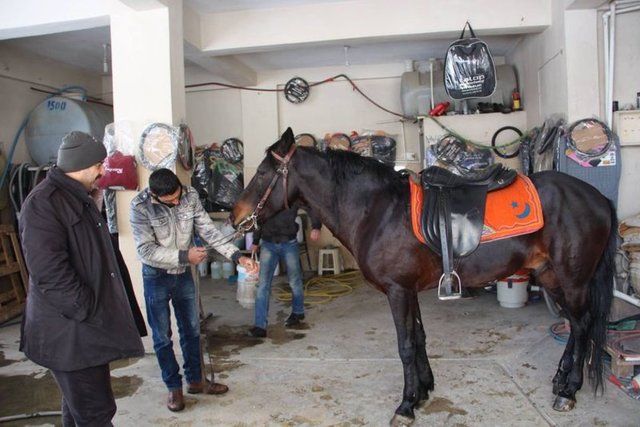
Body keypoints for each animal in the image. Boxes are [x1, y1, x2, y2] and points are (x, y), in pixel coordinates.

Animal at [230, 128, 616, 427]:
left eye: (262, 173)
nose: (235, 216)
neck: (378, 210)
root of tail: (597, 197)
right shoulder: (409, 290)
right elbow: (419, 338)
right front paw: (423, 391)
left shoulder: (397, 291)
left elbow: (405, 345)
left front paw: (405, 405)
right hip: (551, 276)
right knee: (575, 325)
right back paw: (560, 380)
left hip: (573, 279)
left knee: (582, 325)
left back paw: (569, 390)